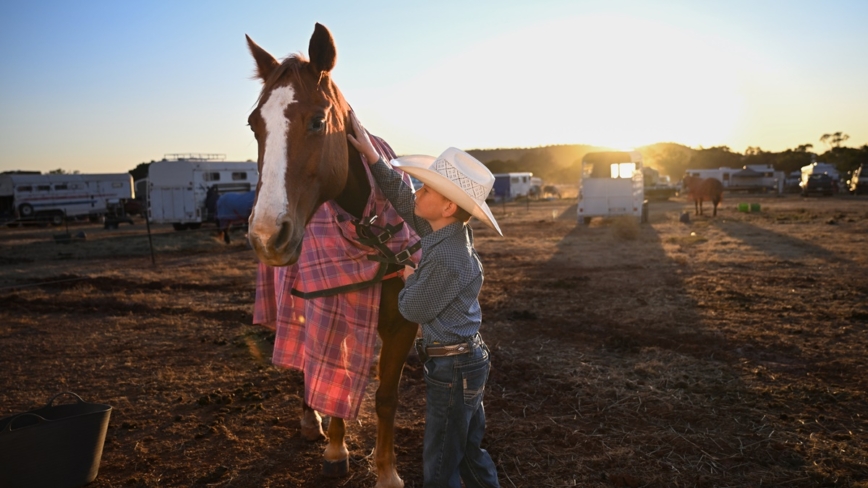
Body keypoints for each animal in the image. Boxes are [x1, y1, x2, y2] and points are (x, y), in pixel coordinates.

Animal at [244, 23, 420, 488]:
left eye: (318, 120)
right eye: (254, 126)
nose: (266, 234)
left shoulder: (403, 325)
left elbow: (386, 397)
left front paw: (387, 472)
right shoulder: (328, 308)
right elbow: (329, 376)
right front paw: (336, 450)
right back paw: (312, 422)